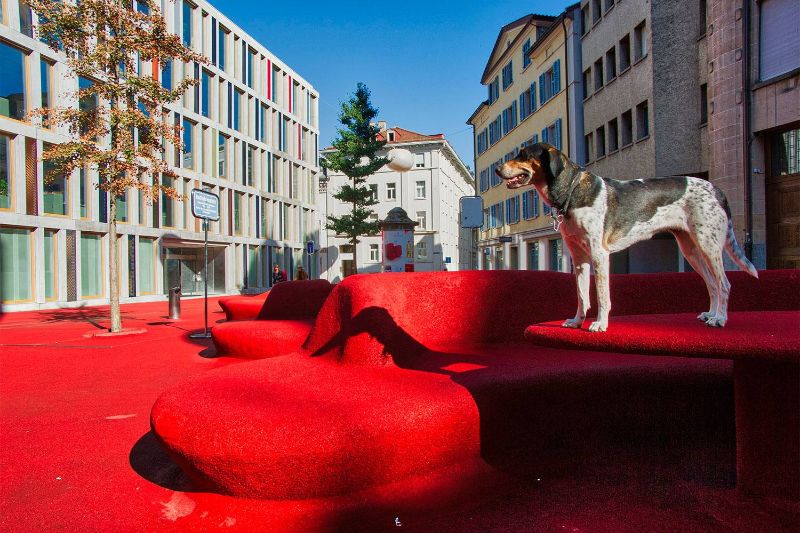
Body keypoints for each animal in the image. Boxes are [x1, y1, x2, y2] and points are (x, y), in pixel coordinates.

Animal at [496, 143, 760, 330]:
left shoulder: (599, 255)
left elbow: (602, 295)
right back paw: (711, 314)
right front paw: (576, 321)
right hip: (691, 250)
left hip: (709, 245)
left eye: (523, 154)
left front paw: (600, 324)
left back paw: (720, 319)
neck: (572, 191)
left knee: (724, 283)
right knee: (712, 284)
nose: (497, 169)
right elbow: (582, 295)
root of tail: (716, 189)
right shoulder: (578, 259)